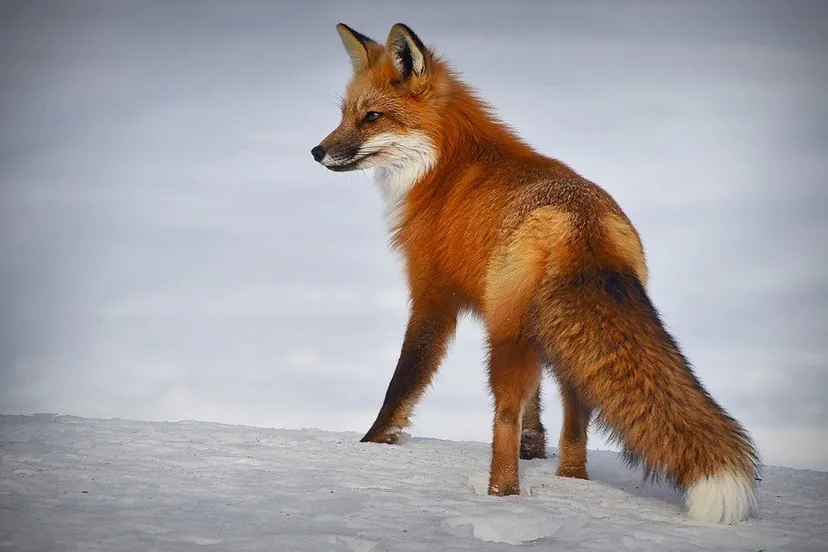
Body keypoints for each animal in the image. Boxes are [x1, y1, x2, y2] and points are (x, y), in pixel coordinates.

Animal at [311, 22, 760, 524]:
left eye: (372, 117)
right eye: (344, 114)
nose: (317, 151)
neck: (443, 168)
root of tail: (581, 223)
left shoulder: (432, 297)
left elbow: (403, 383)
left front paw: (372, 444)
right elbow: (536, 410)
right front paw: (535, 447)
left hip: (506, 338)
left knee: (503, 417)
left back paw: (500, 495)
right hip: (558, 340)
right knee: (576, 422)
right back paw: (571, 482)